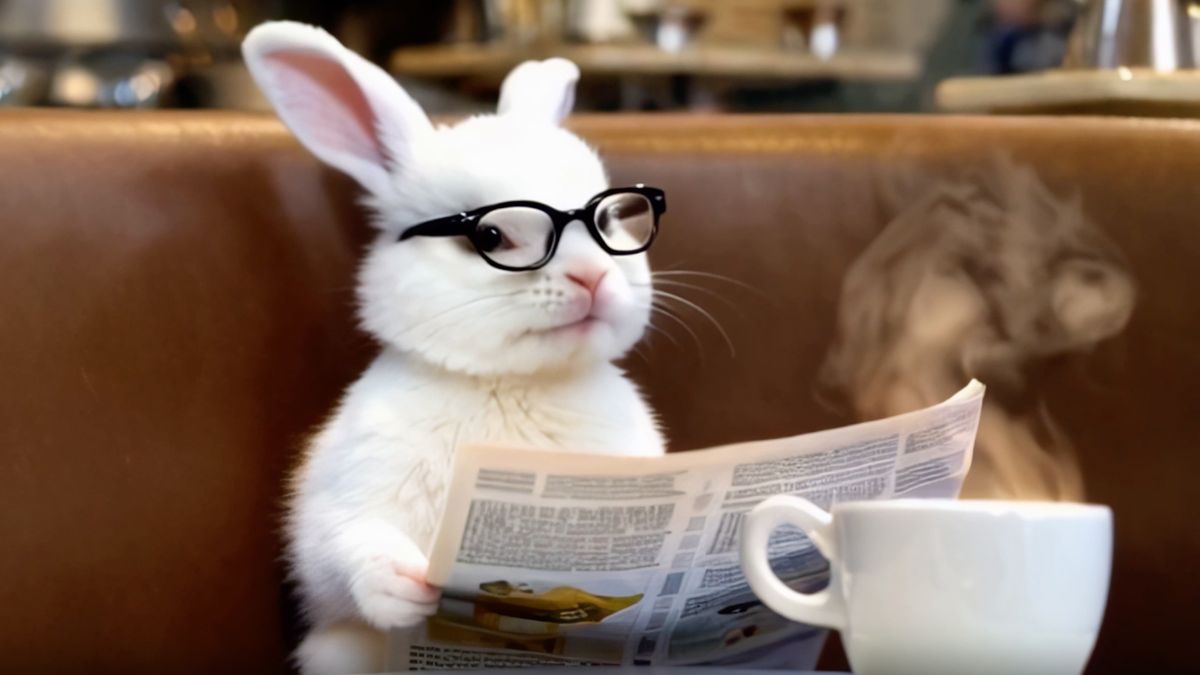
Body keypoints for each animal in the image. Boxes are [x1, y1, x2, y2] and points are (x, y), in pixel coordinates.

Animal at [242, 21, 667, 672]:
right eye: (490, 236)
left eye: (609, 222)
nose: (594, 278)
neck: (513, 386)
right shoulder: (340, 503)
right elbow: (335, 551)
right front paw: (403, 584)